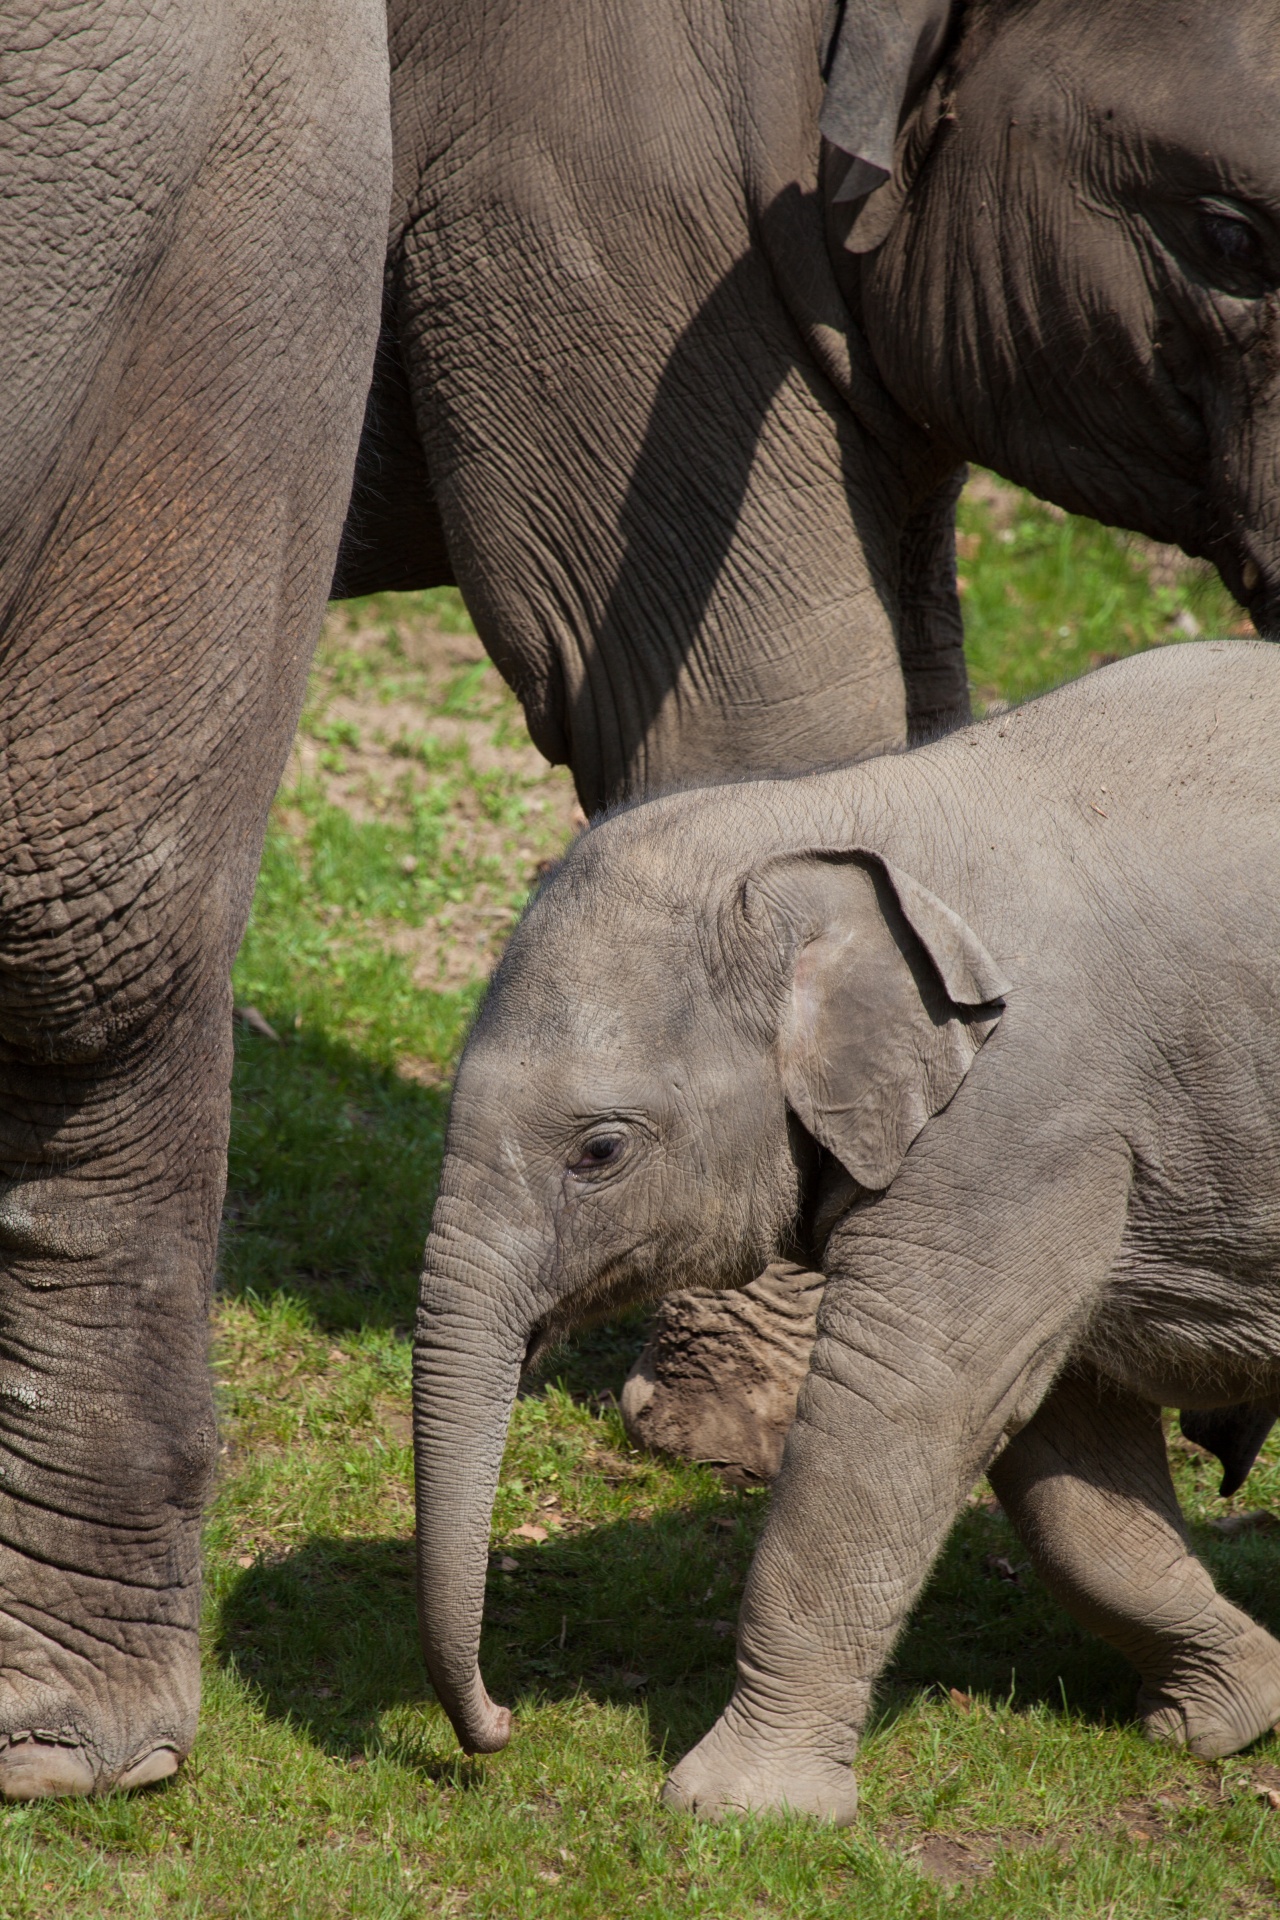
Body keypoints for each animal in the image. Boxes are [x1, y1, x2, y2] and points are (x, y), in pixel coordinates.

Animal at [418, 641, 1280, 1812]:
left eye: (598, 1152)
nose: (502, 1727)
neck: (828, 818)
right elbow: (1059, 1440)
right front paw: (1216, 1721)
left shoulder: (1021, 1118)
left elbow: (907, 1402)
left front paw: (736, 1809)